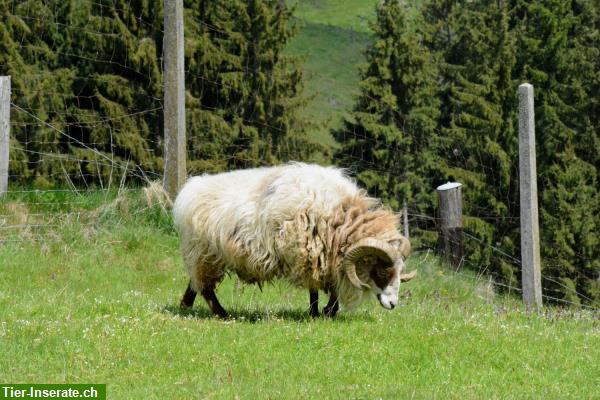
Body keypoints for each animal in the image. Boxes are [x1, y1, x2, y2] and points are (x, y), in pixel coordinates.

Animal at [172, 162, 418, 318]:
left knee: (195, 284)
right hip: (203, 253)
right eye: (383, 271)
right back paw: (222, 314)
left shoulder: (329, 257)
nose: (393, 305)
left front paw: (329, 311)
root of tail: (188, 190)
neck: (340, 217)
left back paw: (185, 306)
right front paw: (316, 312)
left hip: (205, 255)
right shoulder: (309, 253)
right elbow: (315, 289)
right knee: (205, 288)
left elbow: (333, 286)